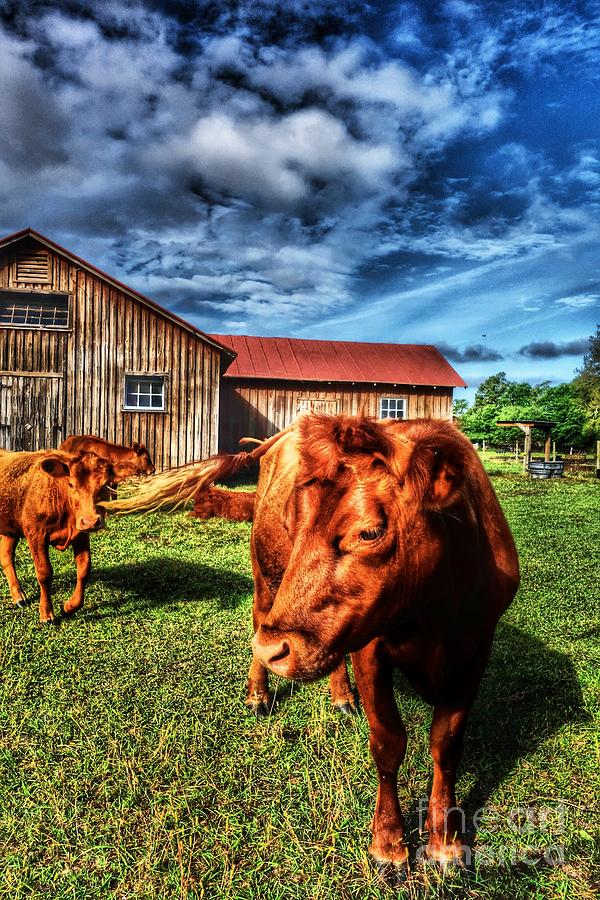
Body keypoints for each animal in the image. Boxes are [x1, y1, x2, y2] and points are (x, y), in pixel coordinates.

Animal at [0, 450, 113, 624]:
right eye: (71, 484)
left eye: (105, 485)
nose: (91, 521)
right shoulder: (36, 535)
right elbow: (44, 573)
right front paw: (46, 613)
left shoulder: (80, 535)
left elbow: (84, 569)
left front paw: (69, 607)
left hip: (10, 527)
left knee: (6, 556)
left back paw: (18, 596)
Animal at [104, 418, 520, 884]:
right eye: (296, 521)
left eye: (369, 532)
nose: (274, 649)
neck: (431, 612)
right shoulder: (371, 650)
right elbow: (389, 743)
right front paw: (388, 844)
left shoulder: (474, 650)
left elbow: (445, 746)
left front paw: (445, 842)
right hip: (266, 578)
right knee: (259, 617)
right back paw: (258, 693)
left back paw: (339, 696)